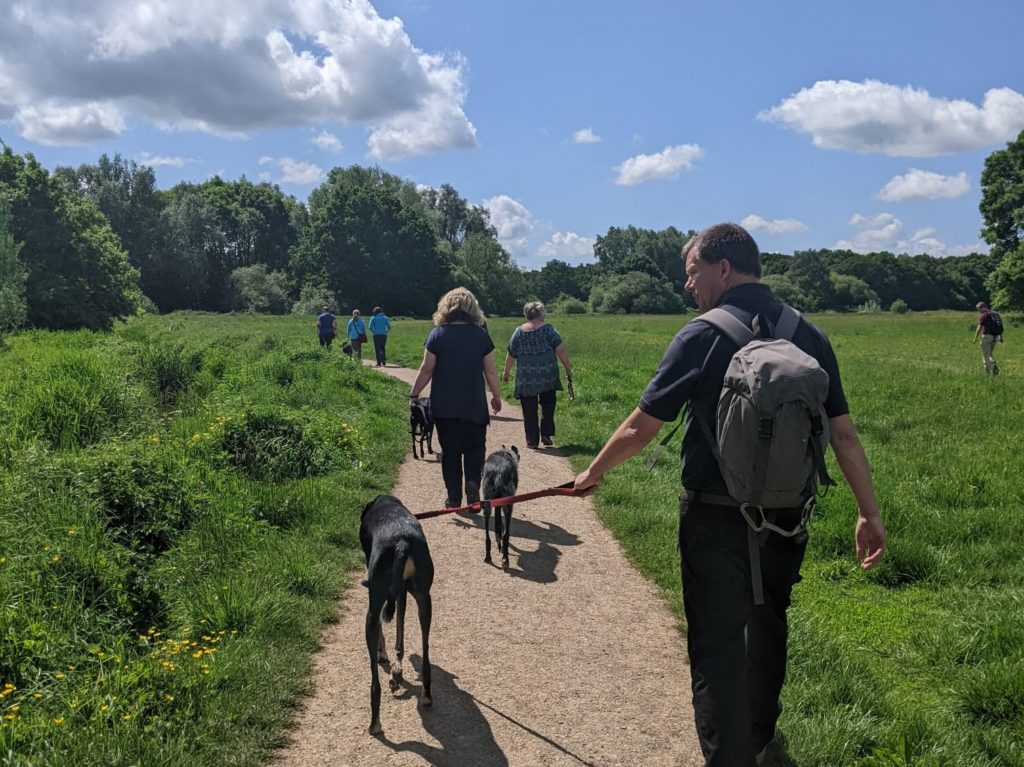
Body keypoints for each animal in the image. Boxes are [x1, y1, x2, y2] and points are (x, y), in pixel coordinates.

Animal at [360, 493, 432, 733]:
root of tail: (401, 542)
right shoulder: (401, 593)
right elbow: (400, 635)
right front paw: (398, 671)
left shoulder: (379, 600)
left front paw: (384, 656)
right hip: (424, 600)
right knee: (426, 652)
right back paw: (426, 694)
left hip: (373, 609)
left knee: (375, 684)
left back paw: (375, 724)